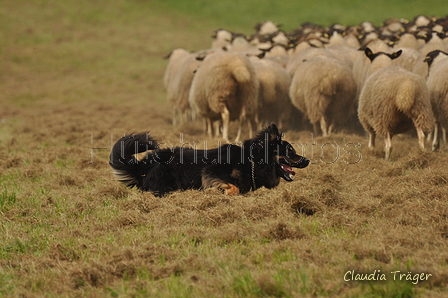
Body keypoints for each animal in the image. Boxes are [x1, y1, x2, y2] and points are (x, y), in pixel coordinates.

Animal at [110, 123, 310, 196]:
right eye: (290, 150)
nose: (307, 161)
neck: (252, 161)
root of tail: (146, 165)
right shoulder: (213, 170)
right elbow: (233, 186)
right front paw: (222, 192)